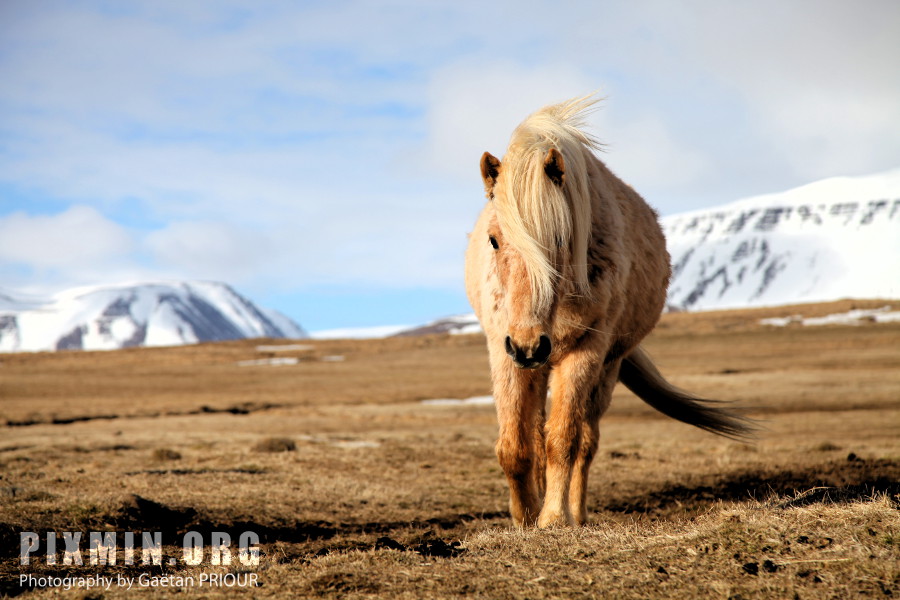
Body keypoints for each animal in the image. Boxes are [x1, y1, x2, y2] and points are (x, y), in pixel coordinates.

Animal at [464, 91, 752, 528]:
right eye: (494, 240)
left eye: (560, 237)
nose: (530, 345)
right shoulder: (503, 350)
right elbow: (514, 445)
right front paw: (524, 519)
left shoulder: (586, 351)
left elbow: (564, 439)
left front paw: (553, 518)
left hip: (606, 367)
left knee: (585, 440)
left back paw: (578, 514)